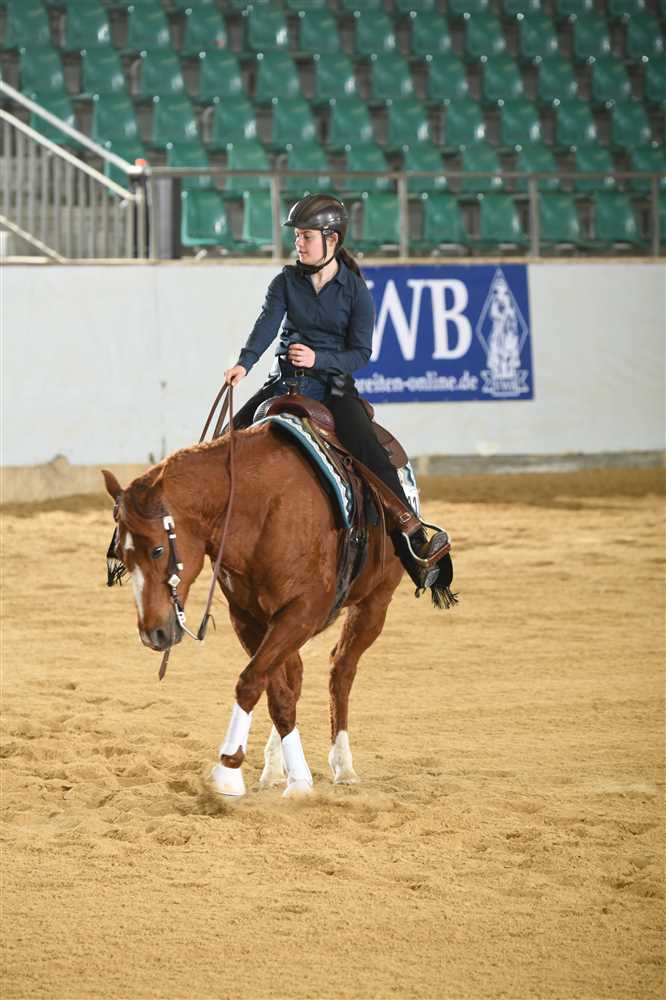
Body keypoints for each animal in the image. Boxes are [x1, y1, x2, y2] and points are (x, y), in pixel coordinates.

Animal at [102, 419, 405, 798]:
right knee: (296, 676)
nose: (153, 634)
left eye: (158, 550)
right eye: (121, 556)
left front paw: (229, 771)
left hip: (375, 602)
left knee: (342, 670)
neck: (262, 509)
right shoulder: (248, 618)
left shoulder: (302, 611)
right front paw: (293, 775)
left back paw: (343, 765)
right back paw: (276, 767)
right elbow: (275, 692)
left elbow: (251, 682)